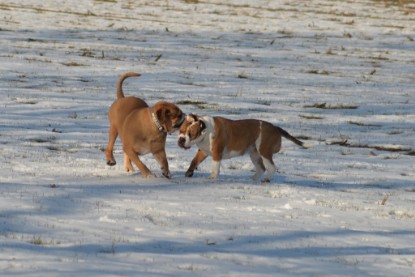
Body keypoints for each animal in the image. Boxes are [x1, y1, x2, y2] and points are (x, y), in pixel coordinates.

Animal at [177, 113, 308, 182]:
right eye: (180, 130)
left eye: (191, 134)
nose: (181, 139)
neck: (206, 131)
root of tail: (275, 127)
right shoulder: (203, 152)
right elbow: (194, 161)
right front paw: (188, 172)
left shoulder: (216, 154)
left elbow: (215, 167)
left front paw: (212, 177)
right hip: (254, 154)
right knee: (261, 168)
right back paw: (253, 179)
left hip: (264, 151)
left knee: (271, 167)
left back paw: (266, 180)